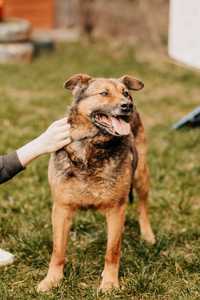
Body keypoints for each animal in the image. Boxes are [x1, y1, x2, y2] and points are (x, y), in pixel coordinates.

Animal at [38, 74, 156, 292]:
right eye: (103, 93)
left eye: (125, 93)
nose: (128, 105)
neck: (91, 147)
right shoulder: (61, 208)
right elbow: (58, 250)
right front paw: (52, 280)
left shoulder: (116, 209)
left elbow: (112, 251)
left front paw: (109, 283)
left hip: (141, 174)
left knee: (143, 206)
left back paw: (147, 235)